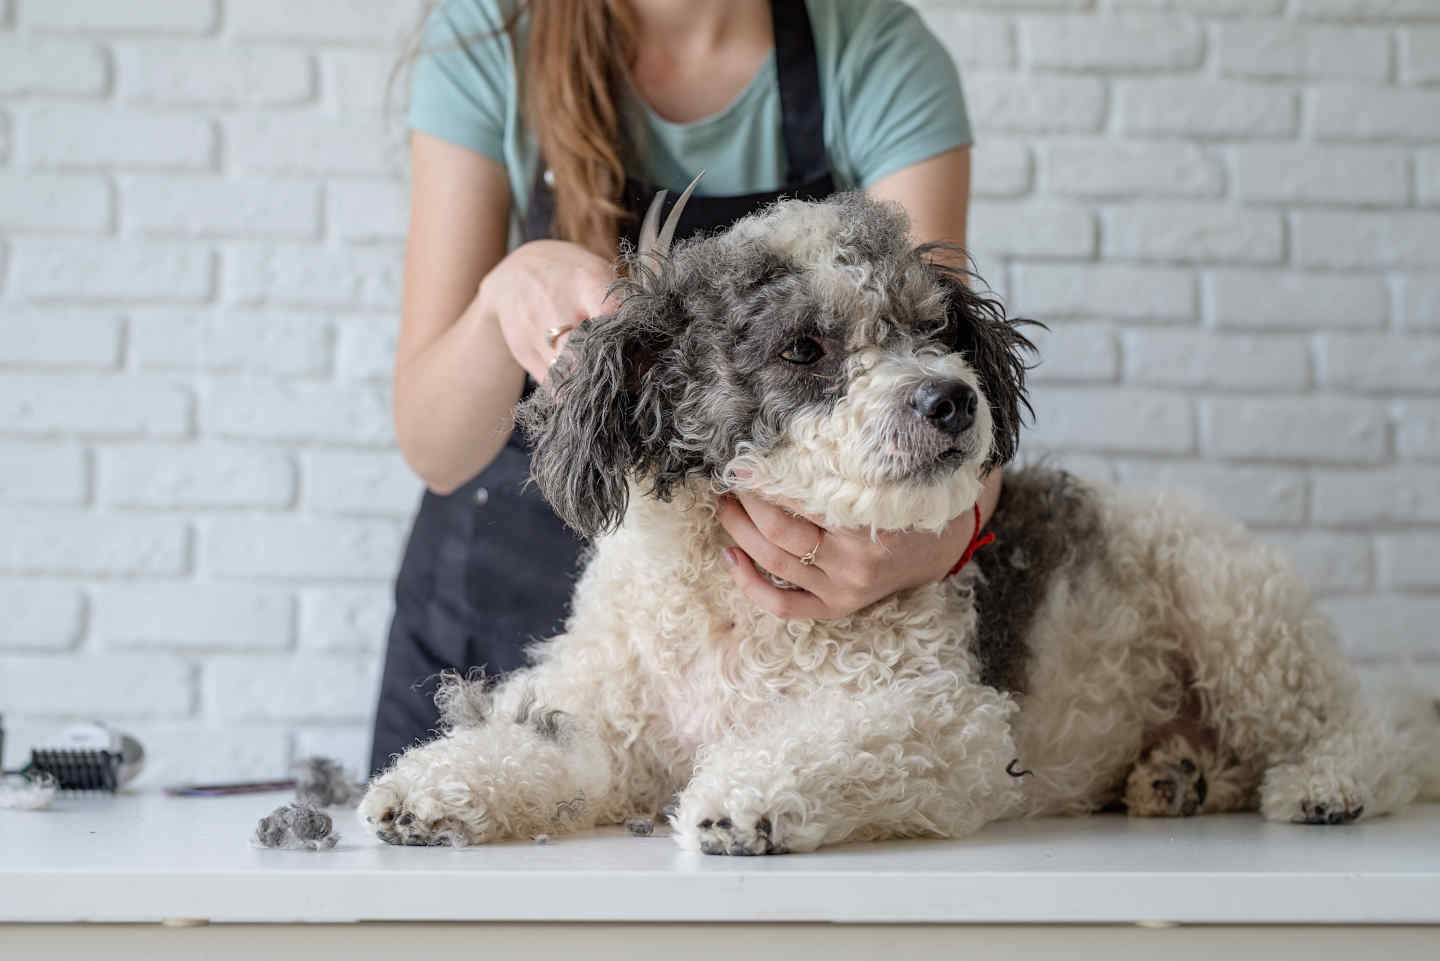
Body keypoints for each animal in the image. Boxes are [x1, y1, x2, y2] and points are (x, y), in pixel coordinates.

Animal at [360, 191, 1440, 852]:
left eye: (935, 327)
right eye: (803, 347)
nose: (952, 399)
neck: (737, 615)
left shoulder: (951, 725)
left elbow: (838, 742)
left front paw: (745, 799)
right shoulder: (609, 726)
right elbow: (542, 750)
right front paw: (430, 787)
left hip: (1239, 617)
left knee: (1371, 734)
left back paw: (1326, 783)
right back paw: (1177, 777)